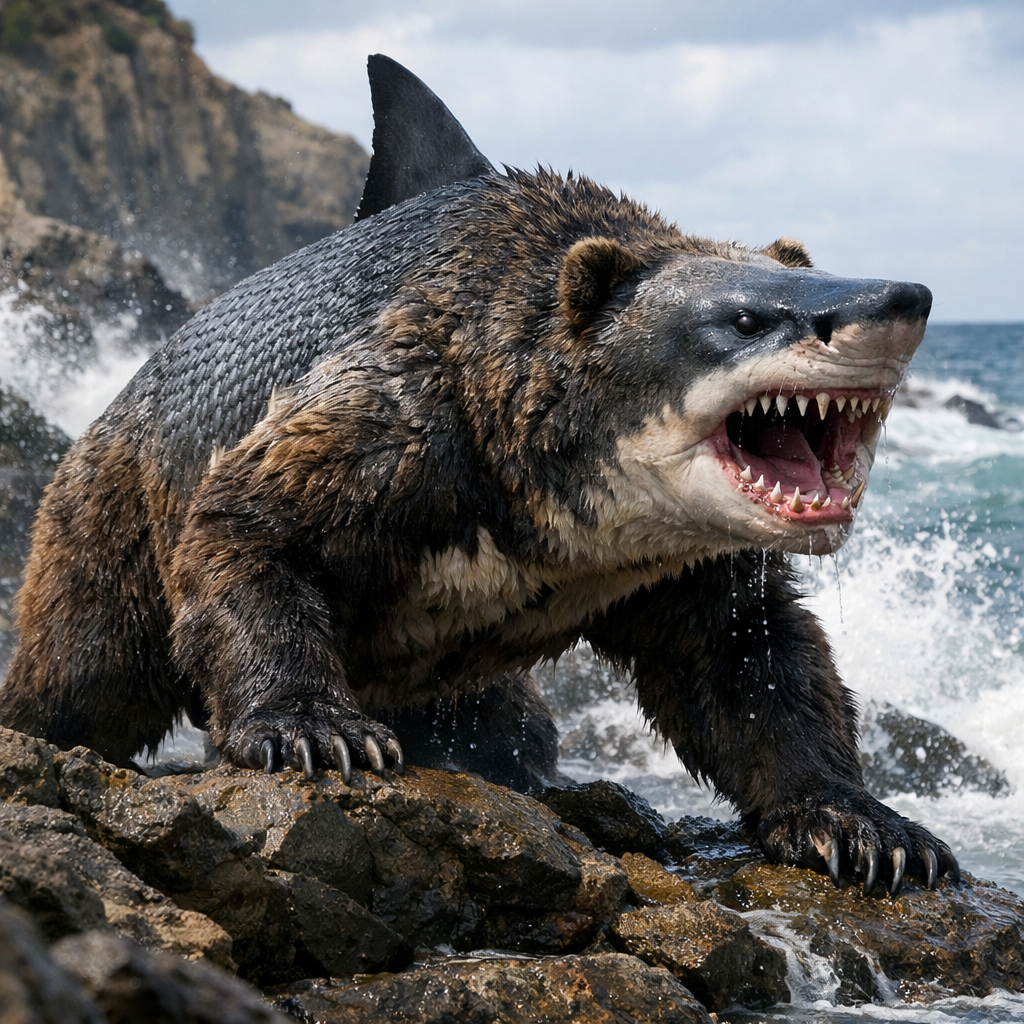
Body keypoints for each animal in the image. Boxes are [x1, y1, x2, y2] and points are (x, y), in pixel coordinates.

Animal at [0, 54, 957, 897]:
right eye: (749, 317)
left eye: (814, 274)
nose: (900, 301)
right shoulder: (398, 423)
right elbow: (247, 531)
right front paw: (308, 721)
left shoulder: (696, 564)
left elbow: (753, 661)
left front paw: (855, 817)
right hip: (101, 530)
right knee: (76, 680)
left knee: (516, 731)